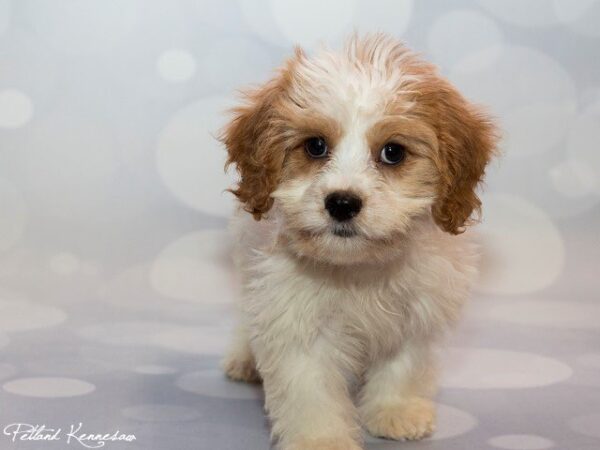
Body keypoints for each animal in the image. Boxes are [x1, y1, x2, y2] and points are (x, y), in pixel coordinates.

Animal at [220, 32, 496, 450]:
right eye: (315, 146)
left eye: (392, 152)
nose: (342, 203)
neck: (360, 267)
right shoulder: (297, 323)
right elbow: (311, 391)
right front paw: (320, 439)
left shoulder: (417, 314)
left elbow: (403, 366)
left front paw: (395, 412)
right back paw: (243, 356)